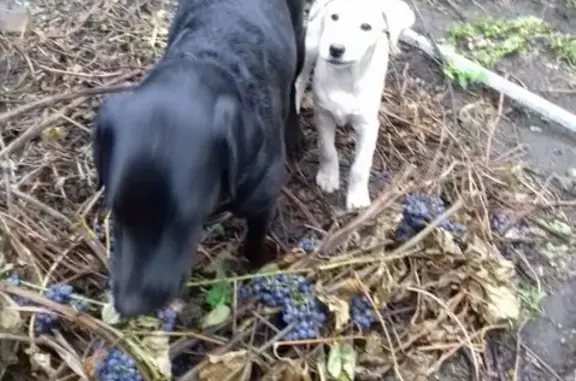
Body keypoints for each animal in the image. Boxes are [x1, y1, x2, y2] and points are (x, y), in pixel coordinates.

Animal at [92, 0, 306, 316]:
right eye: (117, 211)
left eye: (184, 218)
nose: (129, 306)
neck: (209, 58)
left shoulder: (263, 201)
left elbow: (253, 241)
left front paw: (256, 264)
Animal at [296, 0, 414, 209]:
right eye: (334, 16)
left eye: (366, 27)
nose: (335, 49)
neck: (345, 77)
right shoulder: (323, 114)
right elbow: (327, 149)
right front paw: (328, 178)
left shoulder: (368, 126)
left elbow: (360, 166)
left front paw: (357, 197)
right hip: (311, 43)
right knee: (301, 78)